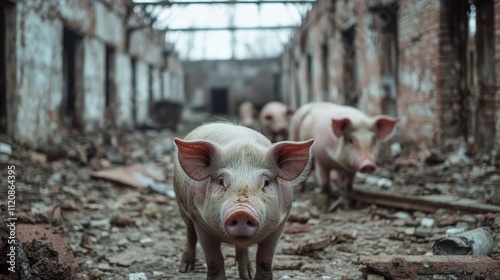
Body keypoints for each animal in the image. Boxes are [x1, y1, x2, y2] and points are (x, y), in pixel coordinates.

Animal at [172, 122, 312, 280]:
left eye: (267, 182)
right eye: (220, 181)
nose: (241, 212)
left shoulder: (279, 225)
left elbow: (265, 260)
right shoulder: (200, 222)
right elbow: (214, 260)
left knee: (242, 248)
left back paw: (247, 275)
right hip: (182, 207)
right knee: (190, 233)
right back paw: (185, 269)